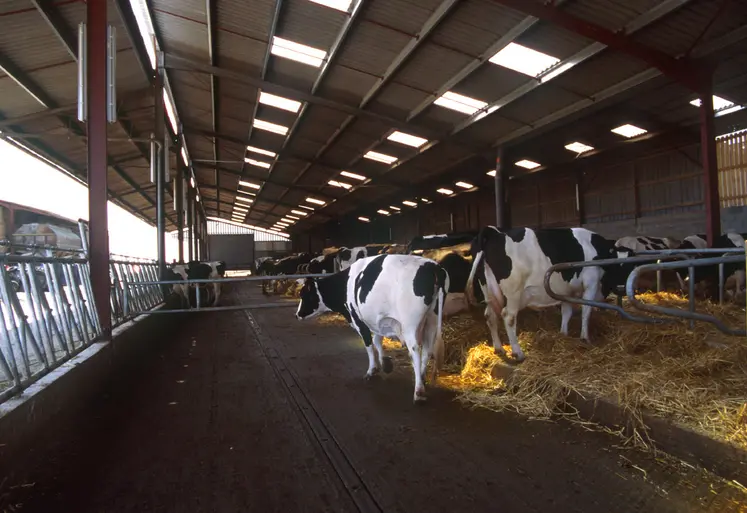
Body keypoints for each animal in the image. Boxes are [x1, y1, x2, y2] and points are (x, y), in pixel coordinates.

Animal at [296, 254, 450, 402]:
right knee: (427, 350)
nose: (297, 314)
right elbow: (377, 341)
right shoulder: (379, 320)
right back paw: (422, 378)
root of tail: (434, 267)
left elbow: (369, 344)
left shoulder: (358, 320)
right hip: (431, 320)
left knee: (416, 350)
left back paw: (418, 391)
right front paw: (385, 364)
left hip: (410, 325)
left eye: (304, 294)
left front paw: (372, 370)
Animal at [464, 226, 628, 362]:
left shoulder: (565, 290)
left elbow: (567, 312)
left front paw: (563, 334)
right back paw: (518, 353)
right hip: (512, 292)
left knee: (490, 316)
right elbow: (586, 311)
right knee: (508, 317)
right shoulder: (591, 282)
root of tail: (493, 233)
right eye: (623, 266)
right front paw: (585, 338)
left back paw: (499, 349)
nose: (623, 289)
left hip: (489, 292)